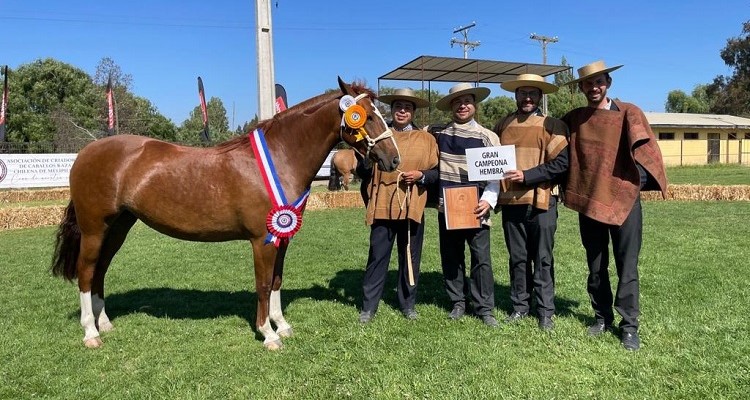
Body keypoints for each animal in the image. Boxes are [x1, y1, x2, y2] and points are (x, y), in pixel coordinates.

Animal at [50, 78, 402, 350]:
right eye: (366, 117)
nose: (394, 160)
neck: (280, 157)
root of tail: (86, 153)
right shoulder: (262, 240)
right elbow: (263, 284)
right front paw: (268, 334)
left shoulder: (282, 237)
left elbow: (277, 281)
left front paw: (282, 325)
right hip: (95, 228)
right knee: (86, 271)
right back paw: (91, 333)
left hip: (118, 227)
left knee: (100, 271)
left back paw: (105, 323)